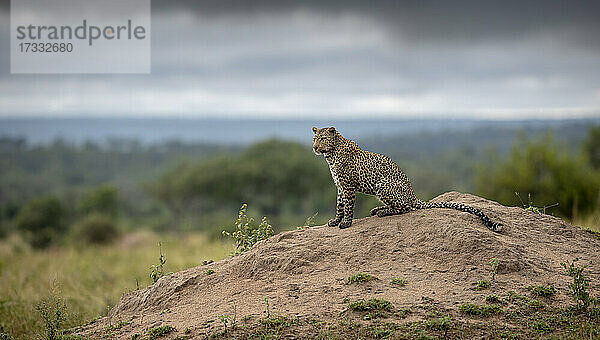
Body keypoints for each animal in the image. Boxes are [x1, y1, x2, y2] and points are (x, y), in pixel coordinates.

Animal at [312, 126, 504, 232]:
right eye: (314, 138)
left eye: (323, 138)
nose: (314, 147)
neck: (330, 155)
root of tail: (414, 196)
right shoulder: (340, 187)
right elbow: (339, 205)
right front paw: (336, 220)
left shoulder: (348, 187)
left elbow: (348, 207)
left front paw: (346, 223)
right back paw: (378, 209)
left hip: (382, 185)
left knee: (405, 208)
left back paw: (382, 212)